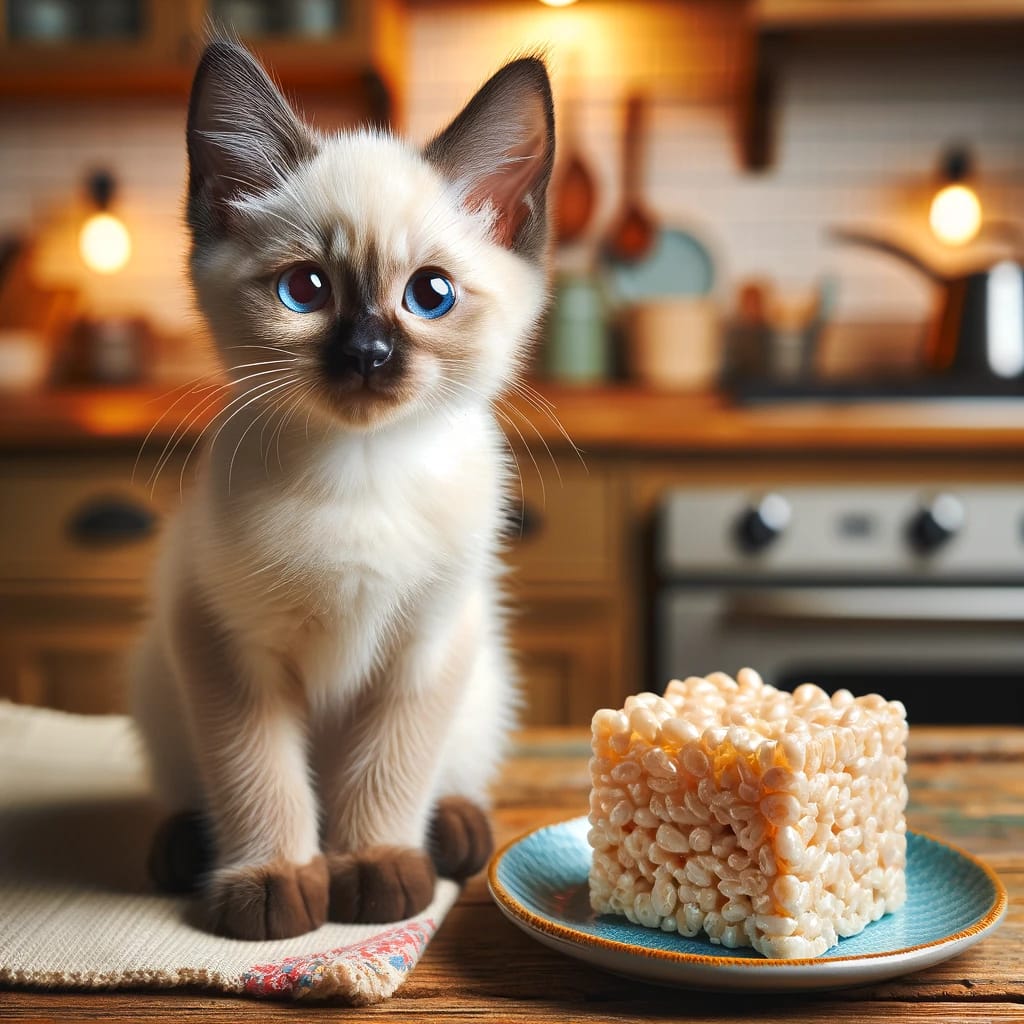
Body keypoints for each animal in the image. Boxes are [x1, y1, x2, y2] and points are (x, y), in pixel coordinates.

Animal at [134, 37, 561, 937]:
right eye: (305, 291)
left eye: (430, 295)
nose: (368, 354)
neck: (362, 471)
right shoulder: (226, 645)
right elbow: (258, 776)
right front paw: (275, 884)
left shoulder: (427, 646)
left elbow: (389, 771)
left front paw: (372, 871)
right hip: (159, 676)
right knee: (192, 787)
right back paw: (183, 847)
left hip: (485, 673)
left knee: (449, 772)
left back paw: (454, 832)